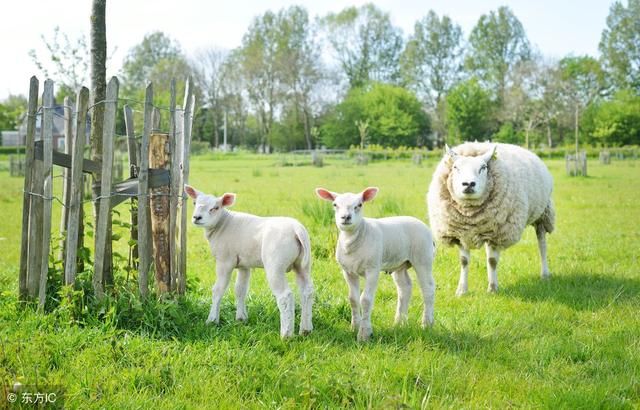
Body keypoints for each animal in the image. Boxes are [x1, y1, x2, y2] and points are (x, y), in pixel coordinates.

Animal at [185, 184, 316, 338]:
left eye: (215, 208)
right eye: (194, 203)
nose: (196, 217)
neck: (222, 224)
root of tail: (297, 229)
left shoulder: (225, 261)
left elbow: (218, 289)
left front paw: (212, 320)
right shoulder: (243, 264)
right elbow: (240, 289)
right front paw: (241, 318)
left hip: (275, 265)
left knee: (285, 296)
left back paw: (286, 334)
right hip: (303, 264)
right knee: (307, 291)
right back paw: (306, 329)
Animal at [316, 187, 436, 342]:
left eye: (359, 205)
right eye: (335, 205)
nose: (346, 217)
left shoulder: (372, 269)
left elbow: (365, 300)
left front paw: (364, 334)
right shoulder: (348, 271)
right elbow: (353, 299)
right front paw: (354, 327)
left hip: (423, 258)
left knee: (428, 289)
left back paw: (427, 324)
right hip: (400, 263)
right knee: (405, 288)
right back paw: (399, 323)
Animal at [424, 142, 556, 294]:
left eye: (483, 167)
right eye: (455, 167)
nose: (468, 184)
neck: (469, 216)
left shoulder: (497, 234)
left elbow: (492, 261)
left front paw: (492, 289)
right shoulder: (461, 232)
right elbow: (464, 261)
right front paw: (462, 290)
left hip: (543, 213)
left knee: (542, 243)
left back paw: (545, 274)